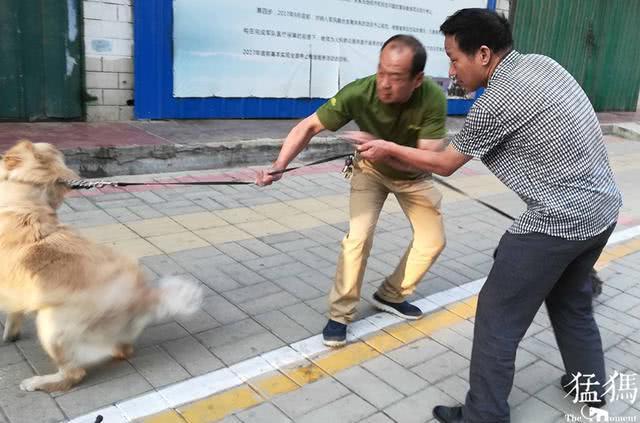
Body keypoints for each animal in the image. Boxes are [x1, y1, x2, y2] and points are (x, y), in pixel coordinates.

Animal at [0, 141, 202, 392]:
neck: (26, 202)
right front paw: (11, 333)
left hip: (51, 326)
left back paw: (38, 382)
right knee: (121, 351)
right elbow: (14, 312)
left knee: (74, 373)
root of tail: (142, 296)